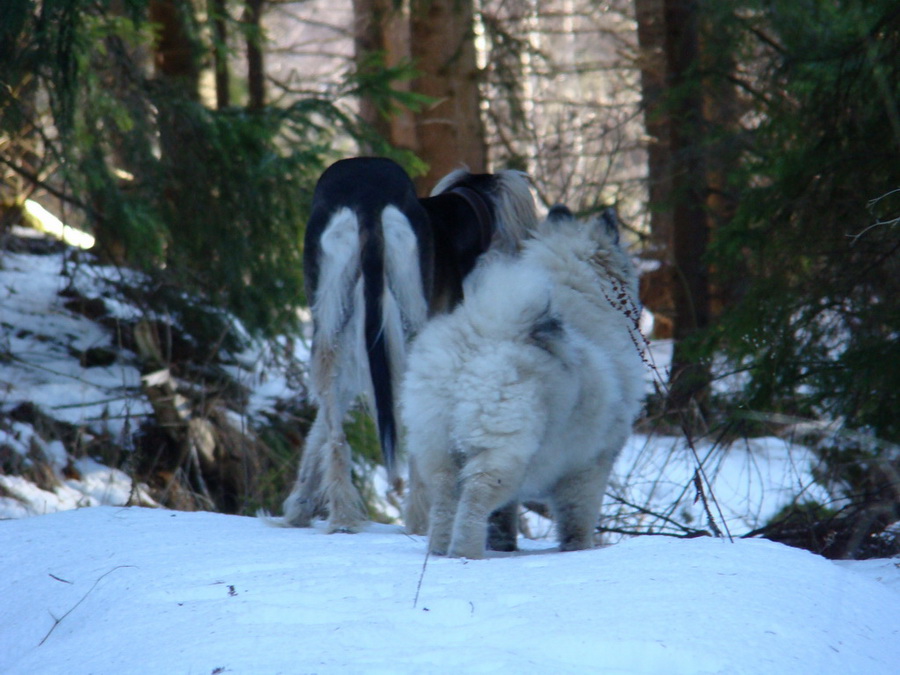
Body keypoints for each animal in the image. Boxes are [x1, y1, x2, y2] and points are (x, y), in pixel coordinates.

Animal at [282, 157, 536, 532]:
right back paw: (420, 515)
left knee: (334, 426)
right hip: (407, 321)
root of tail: (368, 200)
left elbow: (320, 430)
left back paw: (343, 515)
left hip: (331, 316)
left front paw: (299, 505)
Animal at [402, 206, 648, 560]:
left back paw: (439, 551)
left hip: (437, 444)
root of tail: (482, 336)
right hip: (503, 452)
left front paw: (505, 547)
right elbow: (579, 518)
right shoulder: (590, 465)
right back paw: (465, 552)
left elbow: (504, 518)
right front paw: (579, 550)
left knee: (446, 499)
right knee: (476, 497)